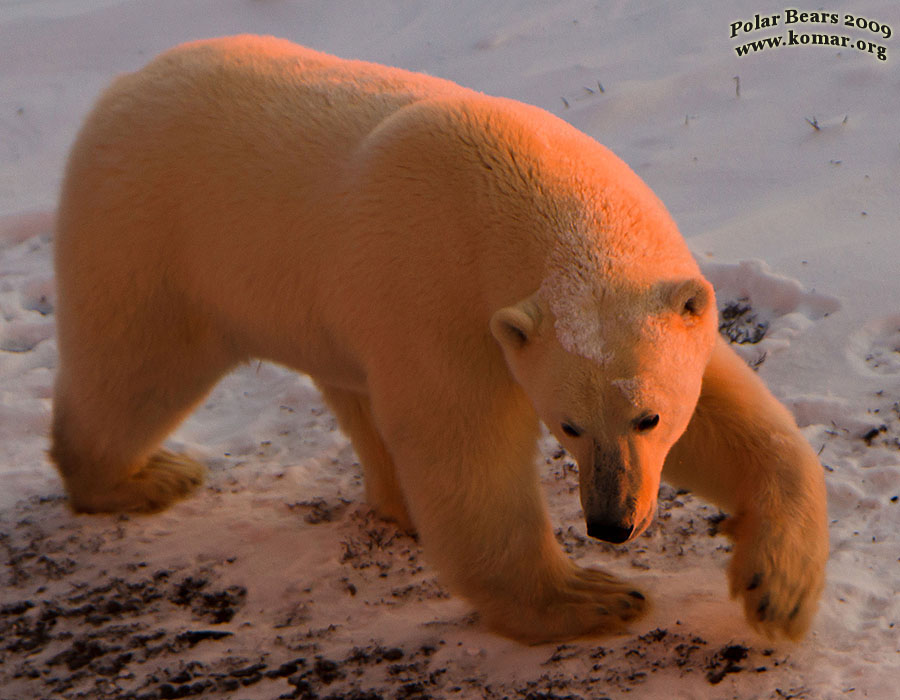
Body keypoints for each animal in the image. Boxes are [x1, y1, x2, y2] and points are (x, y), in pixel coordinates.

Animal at [52, 35, 828, 644]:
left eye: (650, 415)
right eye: (567, 425)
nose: (610, 523)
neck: (518, 186)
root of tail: (119, 90)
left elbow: (730, 417)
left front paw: (778, 589)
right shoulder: (438, 297)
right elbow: (464, 447)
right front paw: (593, 597)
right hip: (154, 238)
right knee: (136, 369)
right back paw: (144, 475)